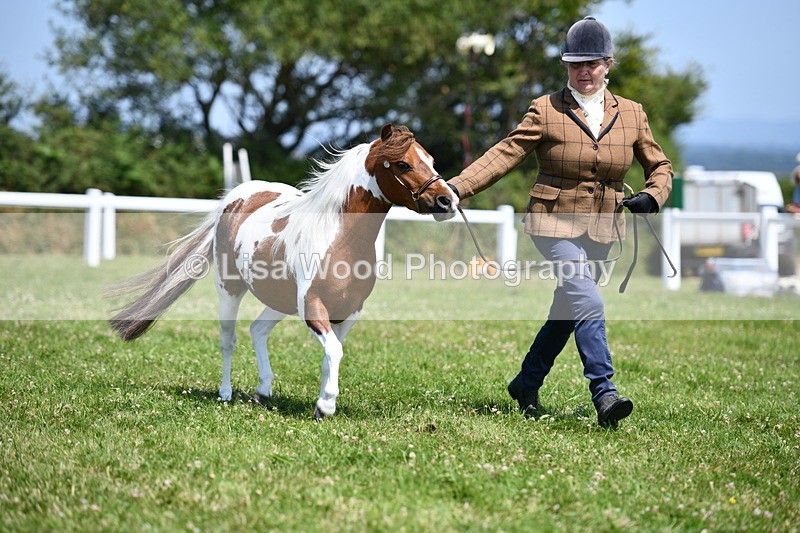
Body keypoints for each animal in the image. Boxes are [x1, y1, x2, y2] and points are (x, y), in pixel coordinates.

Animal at [108, 124, 459, 419]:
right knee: (228, 339)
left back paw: (263, 391)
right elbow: (334, 350)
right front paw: (325, 406)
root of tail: (235, 198)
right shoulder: (312, 307)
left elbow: (333, 354)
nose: (447, 200)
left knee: (257, 330)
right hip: (229, 289)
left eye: (430, 159)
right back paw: (225, 393)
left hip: (280, 301)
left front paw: (322, 403)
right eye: (402, 164)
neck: (339, 238)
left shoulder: (349, 311)